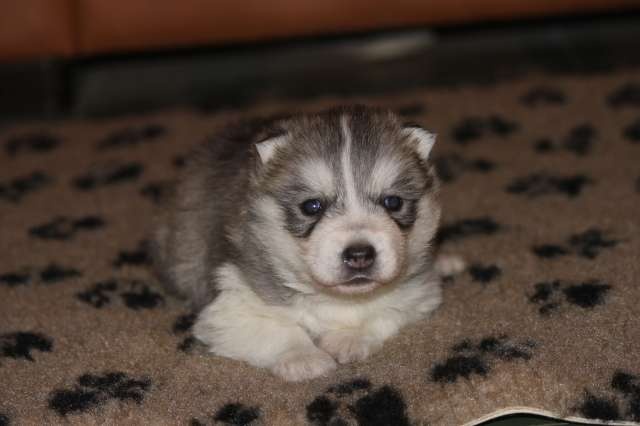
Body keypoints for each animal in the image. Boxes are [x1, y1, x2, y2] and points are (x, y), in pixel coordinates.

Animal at [152, 105, 464, 381]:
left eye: (393, 202)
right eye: (312, 206)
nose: (359, 254)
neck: (335, 298)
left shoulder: (419, 294)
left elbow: (384, 311)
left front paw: (349, 337)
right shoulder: (228, 307)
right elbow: (276, 329)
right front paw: (304, 358)